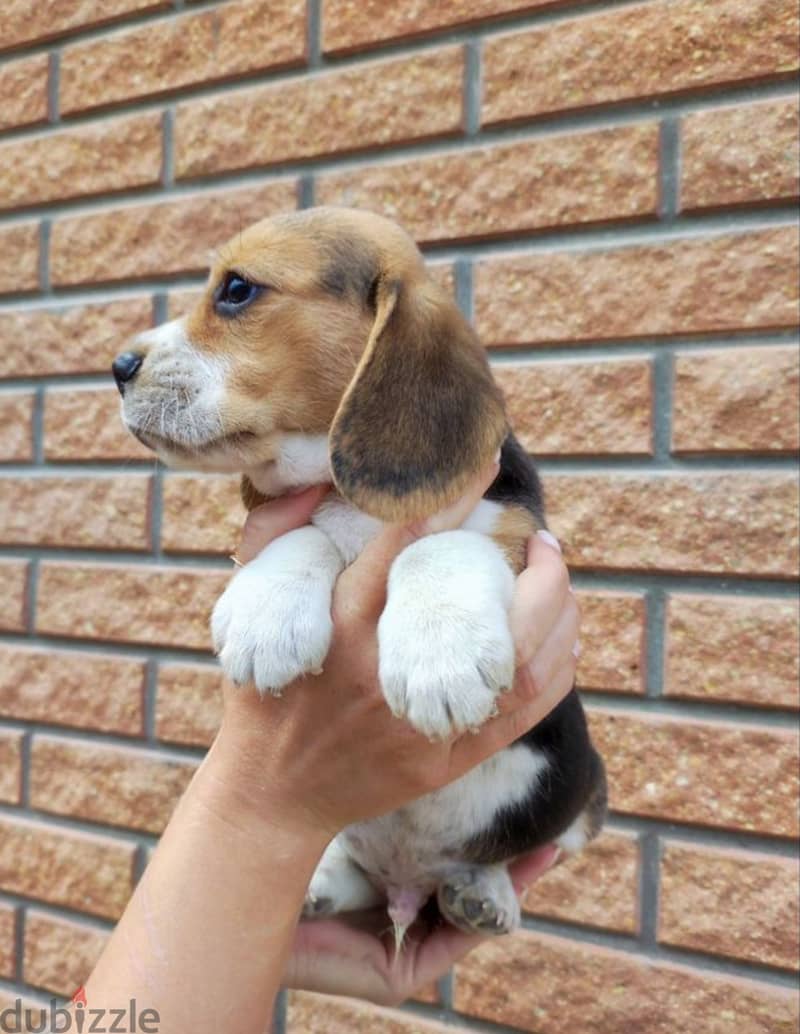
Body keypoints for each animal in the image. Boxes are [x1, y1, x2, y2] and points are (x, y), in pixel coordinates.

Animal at [114, 207, 607, 947]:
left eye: (236, 290)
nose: (118, 366)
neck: (348, 495)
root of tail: (412, 885)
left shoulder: (515, 529)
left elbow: (436, 546)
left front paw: (439, 658)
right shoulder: (301, 517)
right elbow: (304, 534)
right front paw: (266, 618)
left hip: (587, 792)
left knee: (512, 853)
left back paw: (484, 893)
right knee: (356, 872)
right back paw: (322, 886)